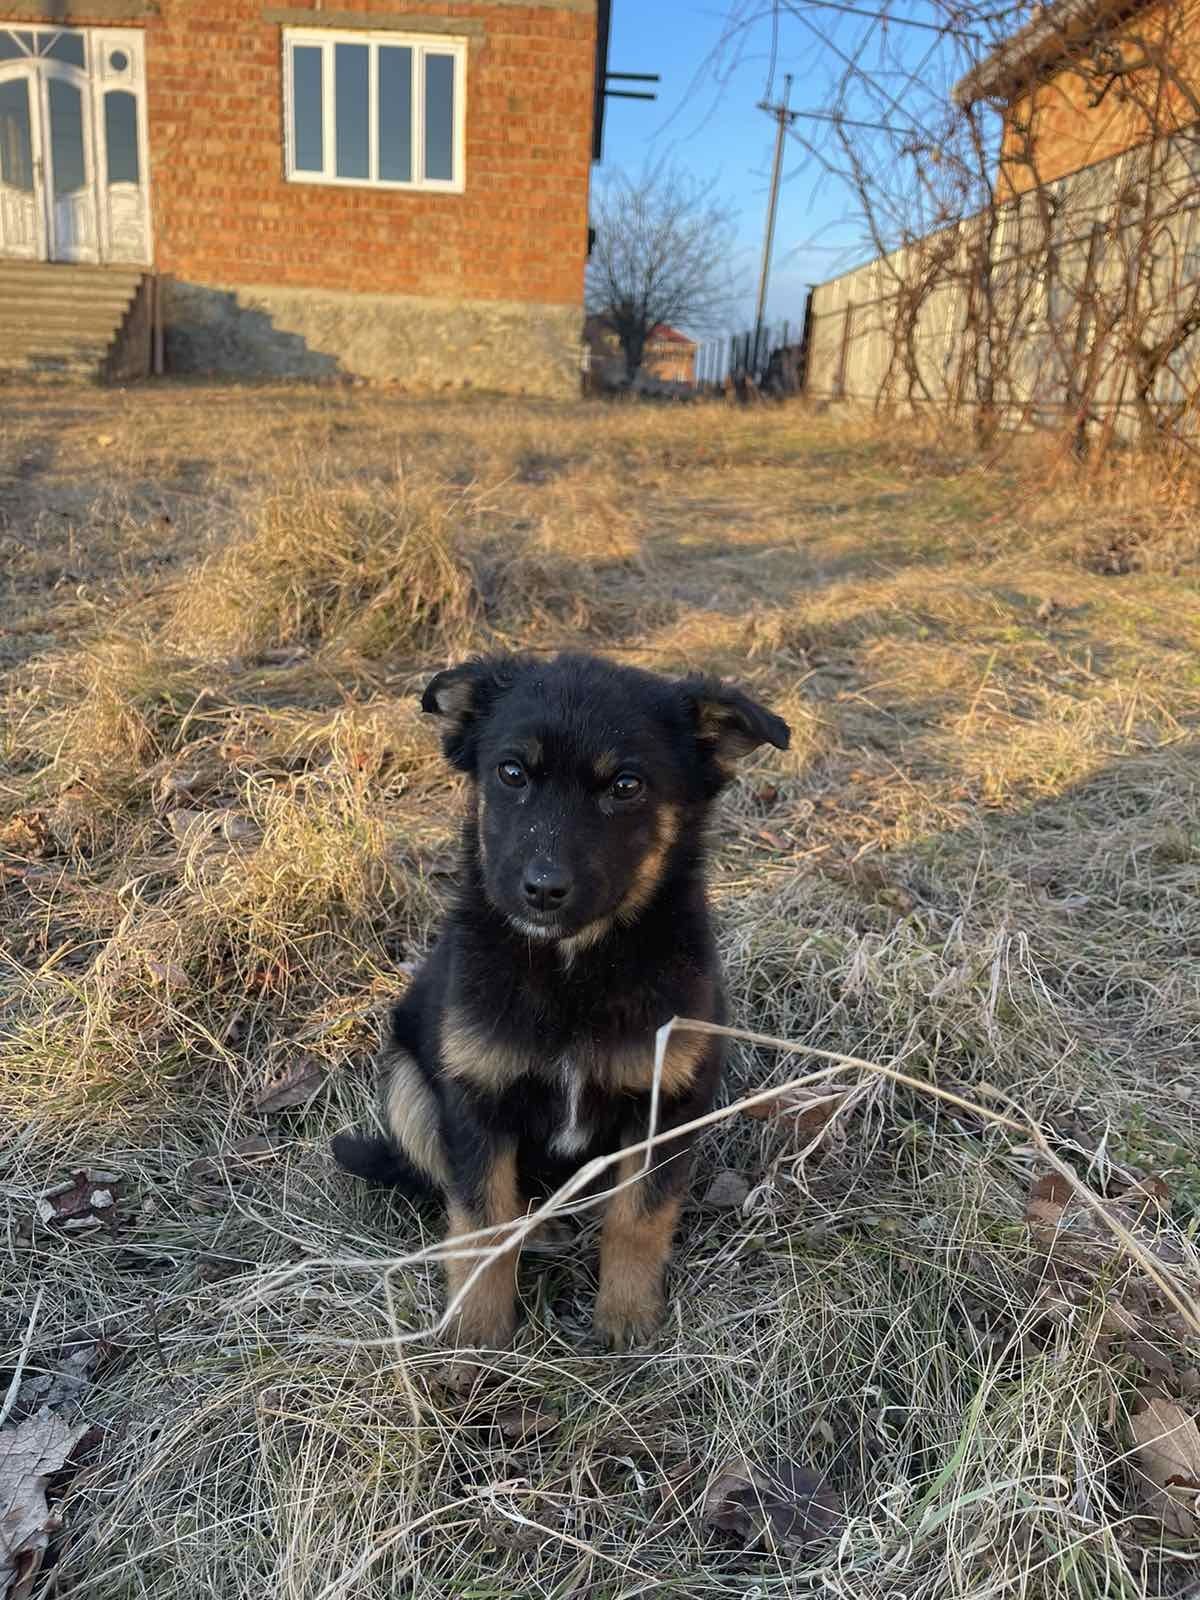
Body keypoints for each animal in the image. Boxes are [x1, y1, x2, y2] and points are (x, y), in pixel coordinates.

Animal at [334, 649, 793, 1350]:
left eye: (625, 787)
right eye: (512, 772)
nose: (542, 890)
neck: (573, 966)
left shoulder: (668, 1099)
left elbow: (639, 1214)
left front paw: (627, 1318)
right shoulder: (475, 1099)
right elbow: (481, 1224)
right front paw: (475, 1340)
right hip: (407, 1084)